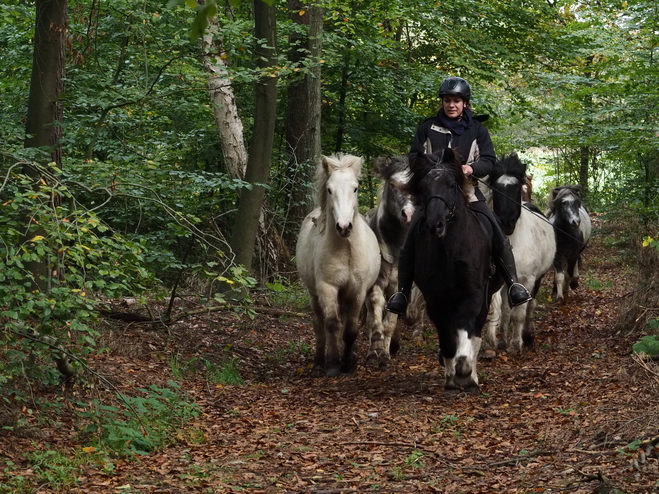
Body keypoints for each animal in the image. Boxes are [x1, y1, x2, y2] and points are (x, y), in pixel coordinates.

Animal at [296, 152, 382, 376]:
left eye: (355, 188)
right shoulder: (327, 288)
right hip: (314, 295)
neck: (346, 250)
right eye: (329, 189)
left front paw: (348, 363)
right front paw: (334, 364)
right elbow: (332, 325)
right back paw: (319, 362)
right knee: (320, 325)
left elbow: (350, 329)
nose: (344, 227)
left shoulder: (357, 291)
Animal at [384, 150, 502, 394]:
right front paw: (451, 376)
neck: (449, 250)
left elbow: (467, 327)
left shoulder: (474, 294)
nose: (435, 225)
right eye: (424, 186)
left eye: (451, 185)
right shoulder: (435, 299)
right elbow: (447, 337)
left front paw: (465, 371)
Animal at [484, 155, 556, 356]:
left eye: (516, 188)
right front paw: (502, 341)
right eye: (496, 189)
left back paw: (528, 335)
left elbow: (519, 314)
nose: (506, 222)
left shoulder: (526, 280)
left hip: (537, 279)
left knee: (531, 306)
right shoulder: (502, 281)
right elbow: (505, 312)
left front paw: (516, 344)